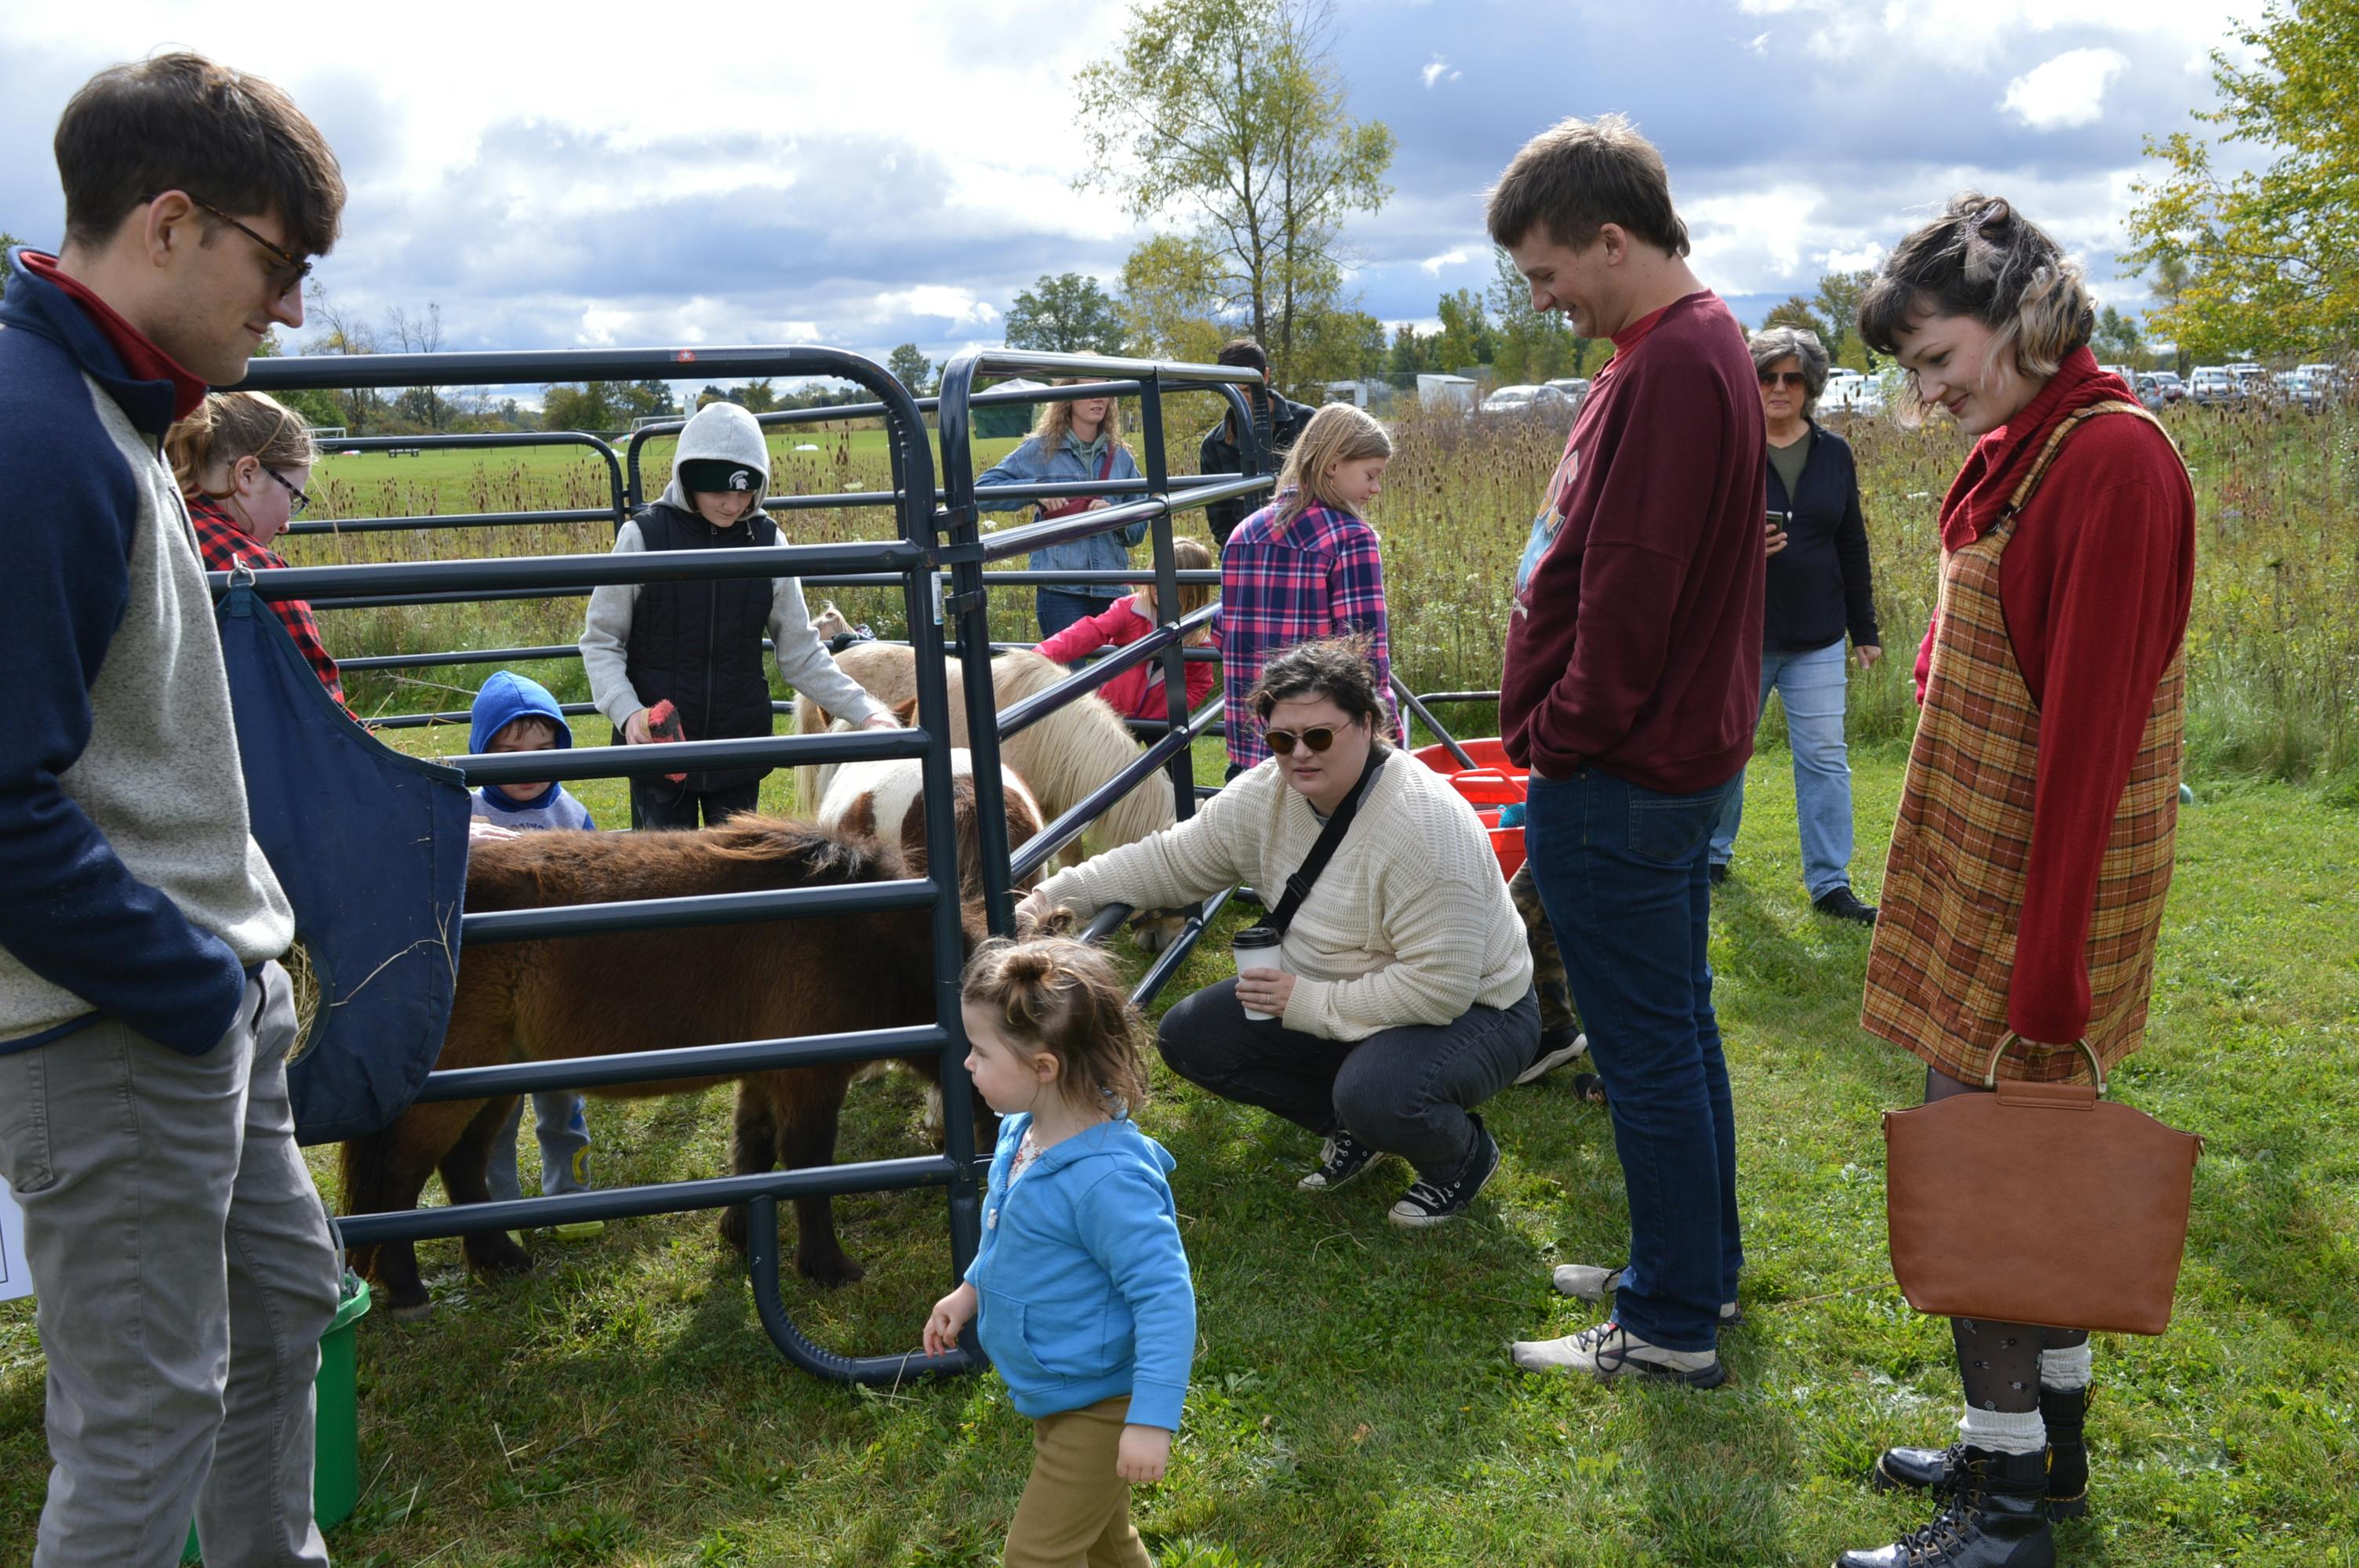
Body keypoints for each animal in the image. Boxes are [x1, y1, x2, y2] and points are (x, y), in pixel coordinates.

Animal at [335, 811, 986, 1311]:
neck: (860, 930)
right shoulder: (809, 1079)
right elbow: (809, 1164)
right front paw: (827, 1266)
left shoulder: (766, 1075)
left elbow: (754, 1149)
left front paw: (740, 1234)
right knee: (400, 1176)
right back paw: (407, 1289)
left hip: (495, 1079)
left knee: (463, 1163)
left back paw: (498, 1258)